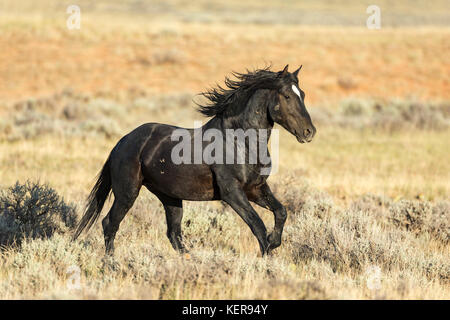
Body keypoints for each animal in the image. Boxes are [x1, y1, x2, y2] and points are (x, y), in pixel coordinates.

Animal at [72, 64, 314, 255]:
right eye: (287, 96)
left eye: (302, 93)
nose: (309, 132)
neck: (240, 142)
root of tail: (122, 142)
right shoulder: (232, 193)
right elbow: (258, 226)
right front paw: (268, 258)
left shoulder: (256, 189)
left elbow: (281, 212)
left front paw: (275, 242)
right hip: (127, 192)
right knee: (109, 223)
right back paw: (111, 261)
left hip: (170, 198)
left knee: (174, 234)